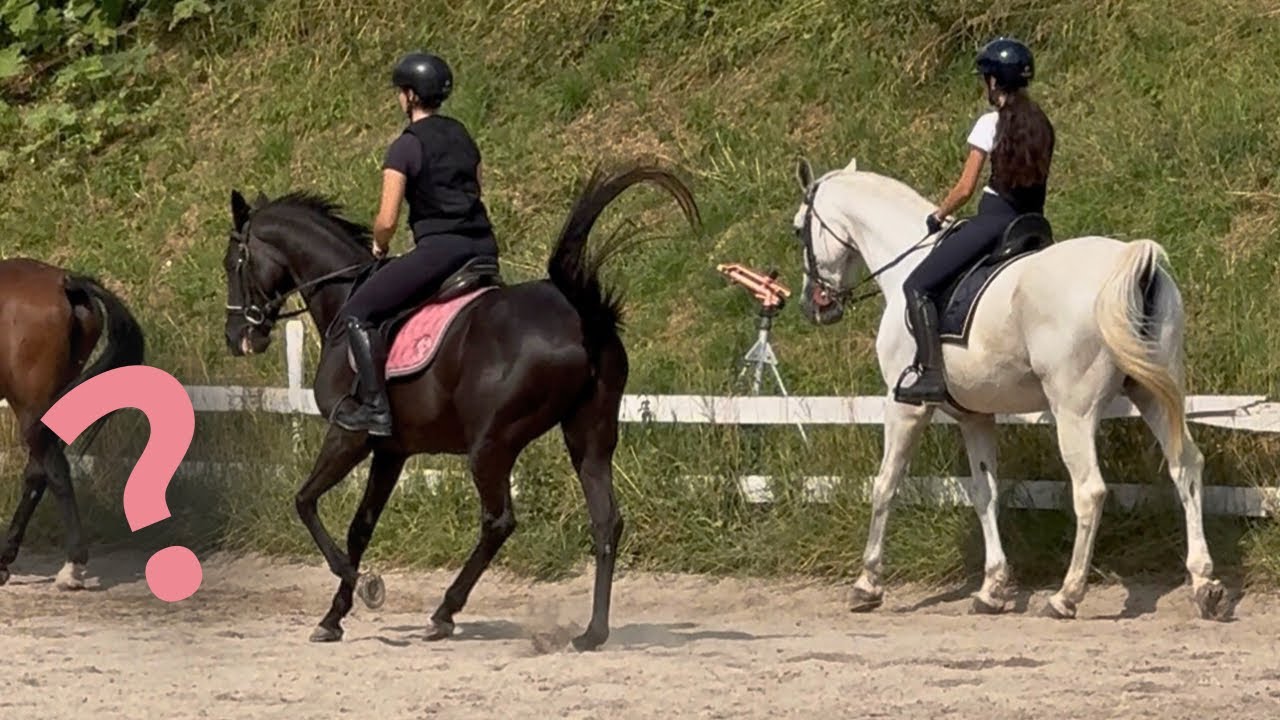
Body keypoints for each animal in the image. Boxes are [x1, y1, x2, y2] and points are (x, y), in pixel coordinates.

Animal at [220, 163, 700, 649]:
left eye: (232, 263)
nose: (238, 337)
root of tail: (580, 313)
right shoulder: (390, 450)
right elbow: (360, 526)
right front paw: (334, 616)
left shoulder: (349, 435)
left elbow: (304, 503)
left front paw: (365, 587)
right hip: (589, 435)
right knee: (605, 521)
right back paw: (592, 632)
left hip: (491, 445)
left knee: (498, 522)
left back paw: (444, 612)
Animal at [790, 157, 1226, 621]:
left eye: (798, 230)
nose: (815, 305)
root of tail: (1128, 260)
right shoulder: (974, 416)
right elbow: (985, 493)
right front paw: (992, 588)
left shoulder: (904, 408)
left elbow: (885, 485)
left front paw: (867, 584)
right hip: (1153, 394)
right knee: (1185, 468)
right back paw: (1205, 585)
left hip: (1074, 412)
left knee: (1090, 491)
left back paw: (1066, 596)